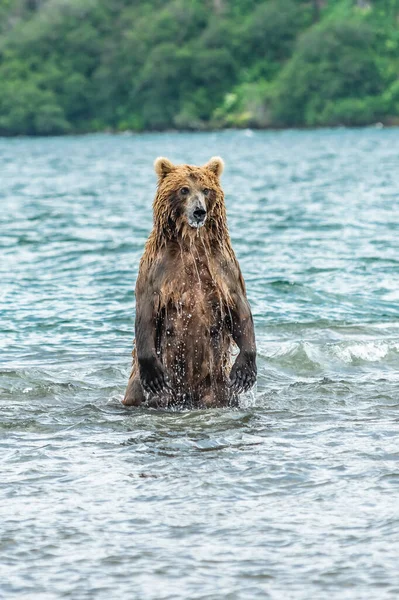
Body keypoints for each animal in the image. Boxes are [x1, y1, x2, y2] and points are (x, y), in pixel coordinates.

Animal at [123, 155, 258, 410]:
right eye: (183, 189)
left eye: (206, 189)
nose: (199, 212)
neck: (192, 241)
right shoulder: (157, 268)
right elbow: (146, 308)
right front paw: (154, 374)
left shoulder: (223, 265)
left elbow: (240, 307)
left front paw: (244, 372)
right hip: (150, 385)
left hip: (217, 385)